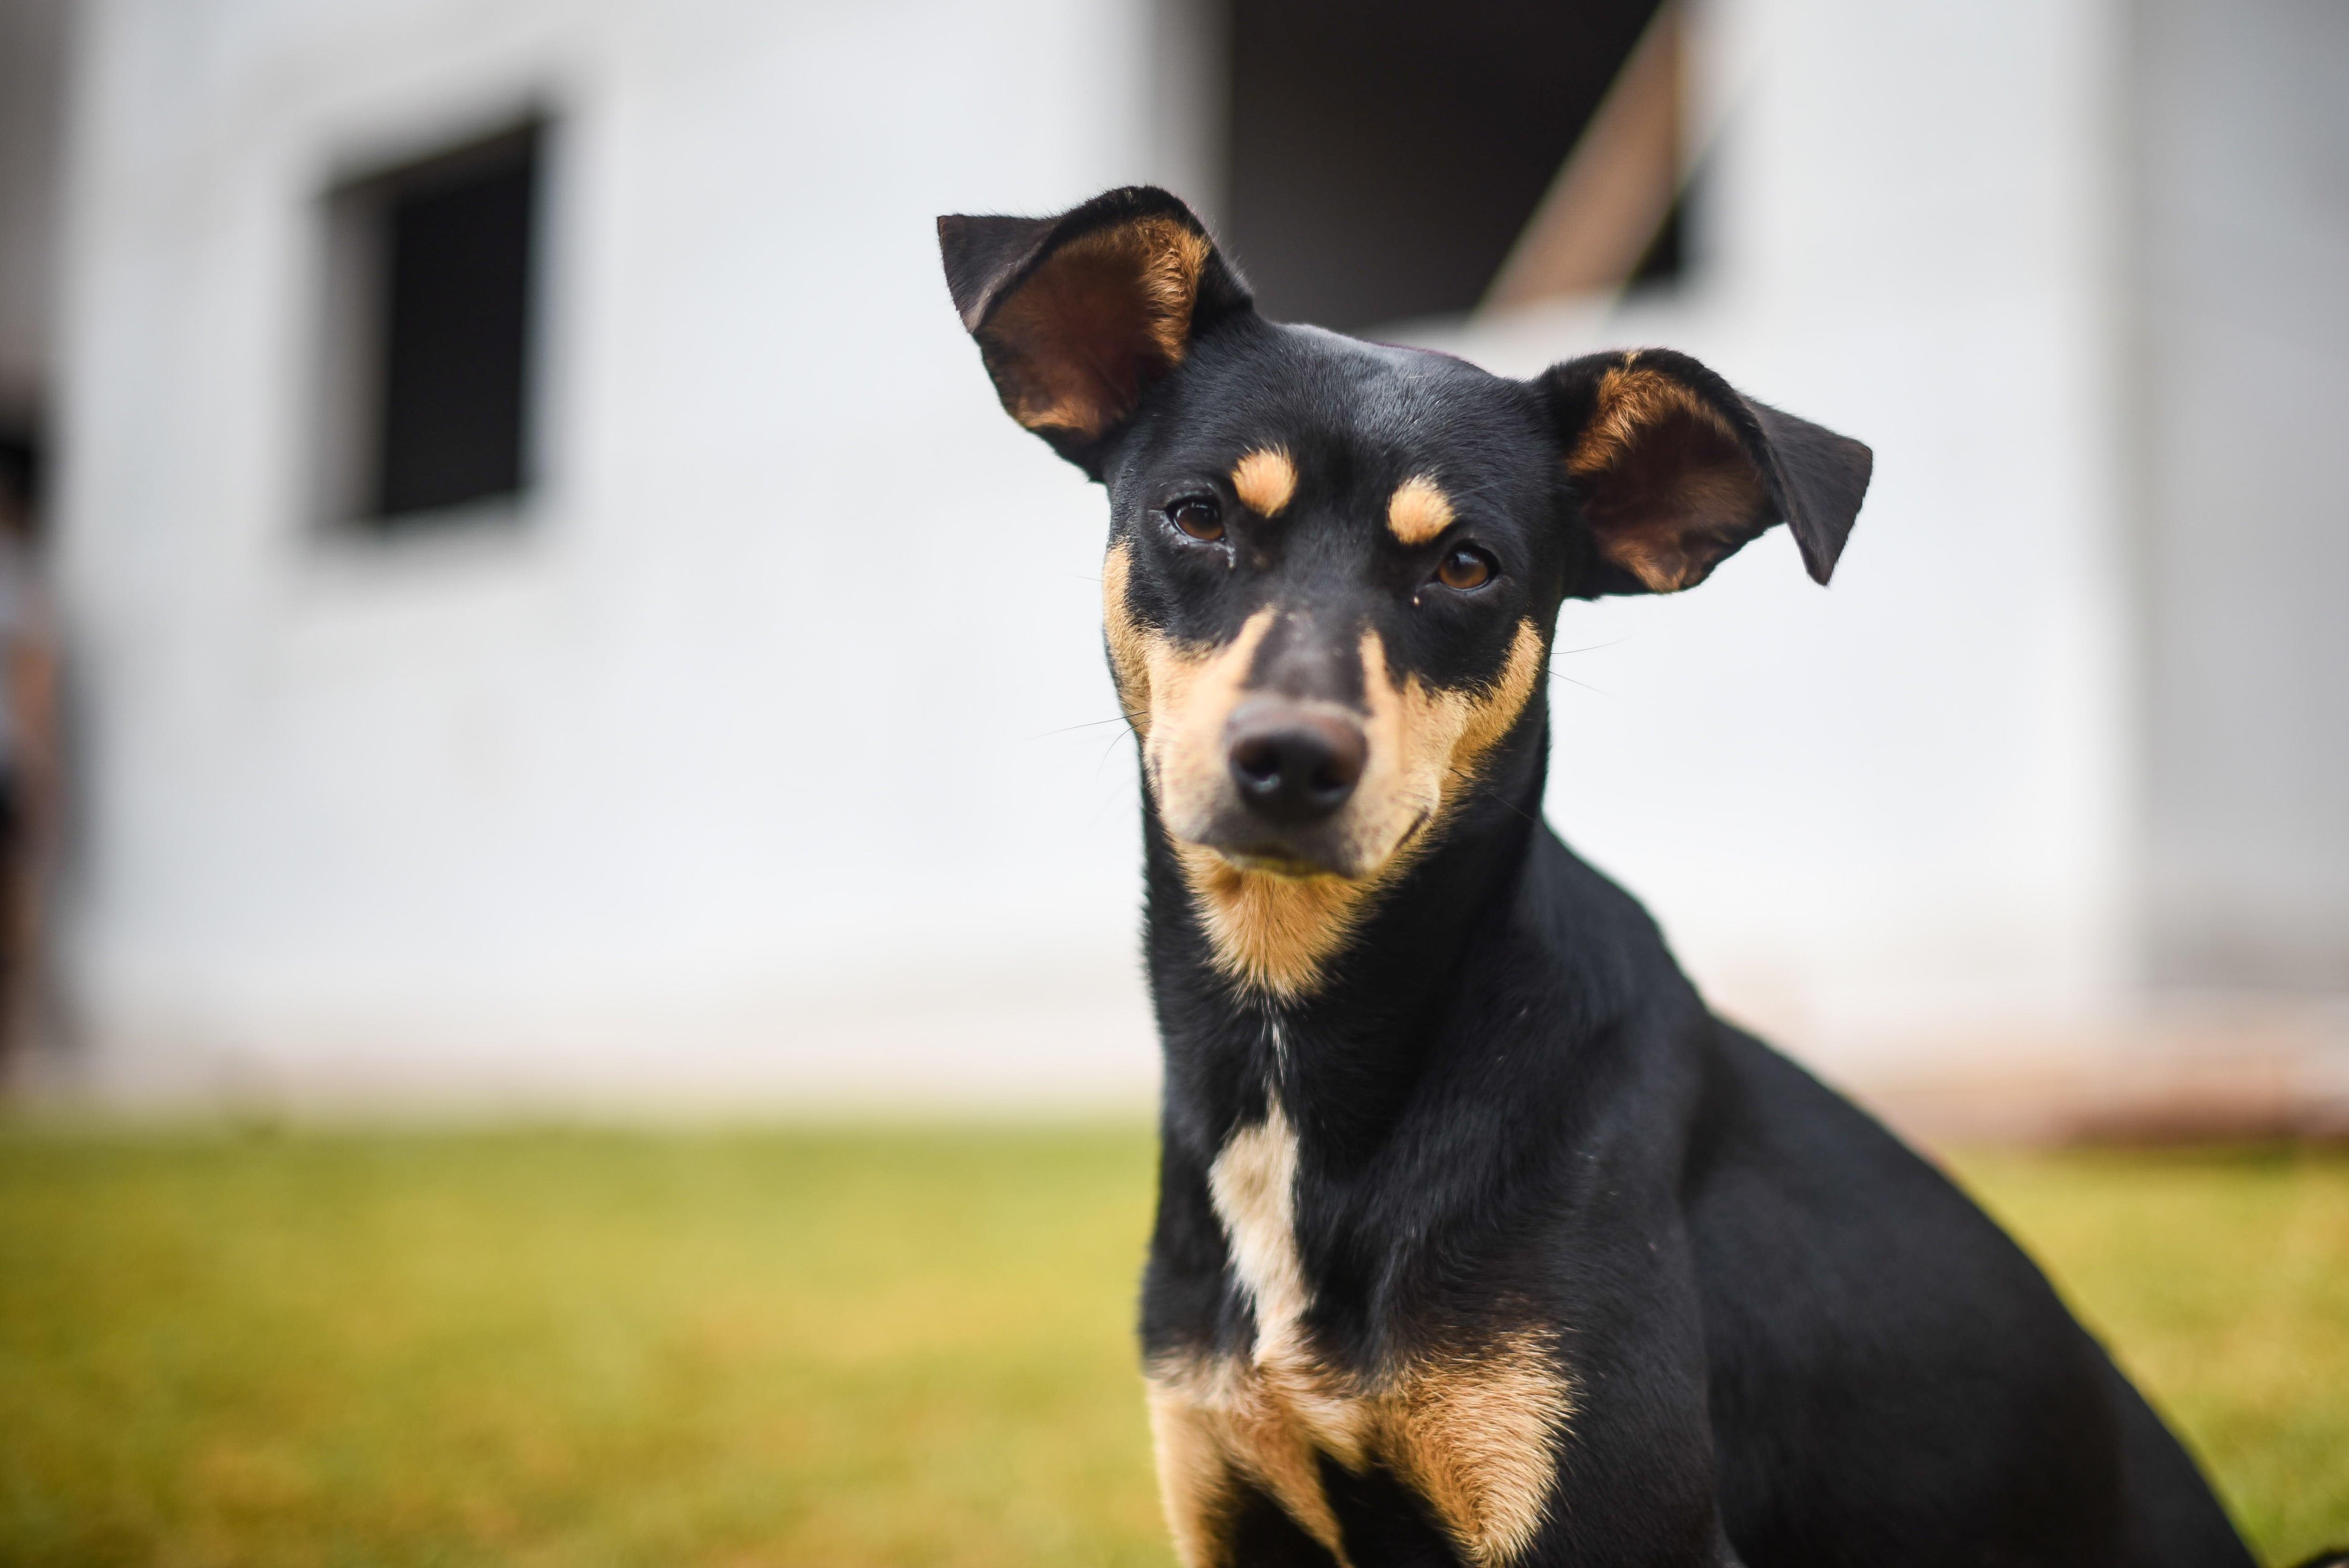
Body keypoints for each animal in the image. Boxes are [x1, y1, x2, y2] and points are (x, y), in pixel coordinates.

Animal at [940, 192, 2311, 1568]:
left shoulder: (1608, 1511)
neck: (1304, 1063)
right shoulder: (1238, 1502)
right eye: (1199, 515)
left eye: (1468, 566)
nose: (1290, 759)